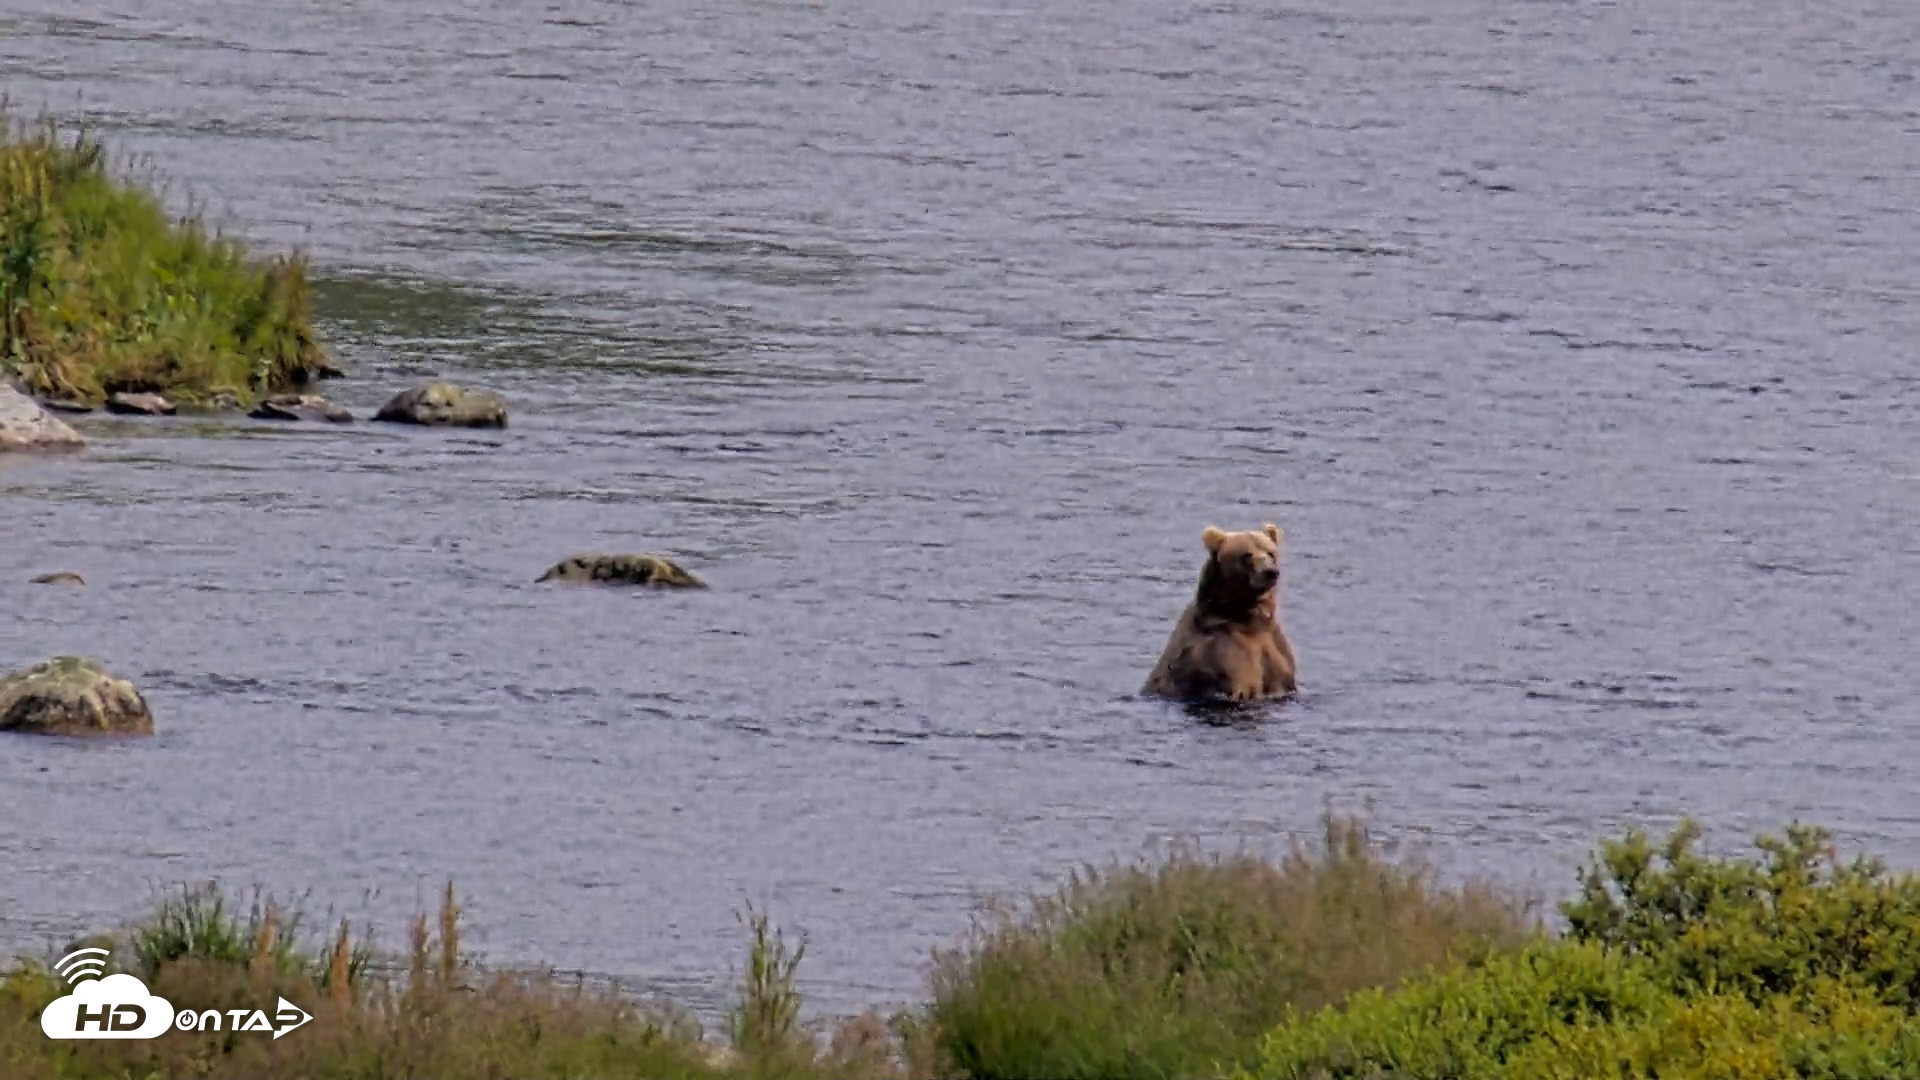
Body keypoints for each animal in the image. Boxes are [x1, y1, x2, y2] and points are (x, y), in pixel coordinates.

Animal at [1142, 522, 1297, 704]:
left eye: (1271, 552)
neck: (1247, 619)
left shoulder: (1275, 650)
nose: (1270, 572)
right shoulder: (1221, 652)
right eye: (1246, 555)